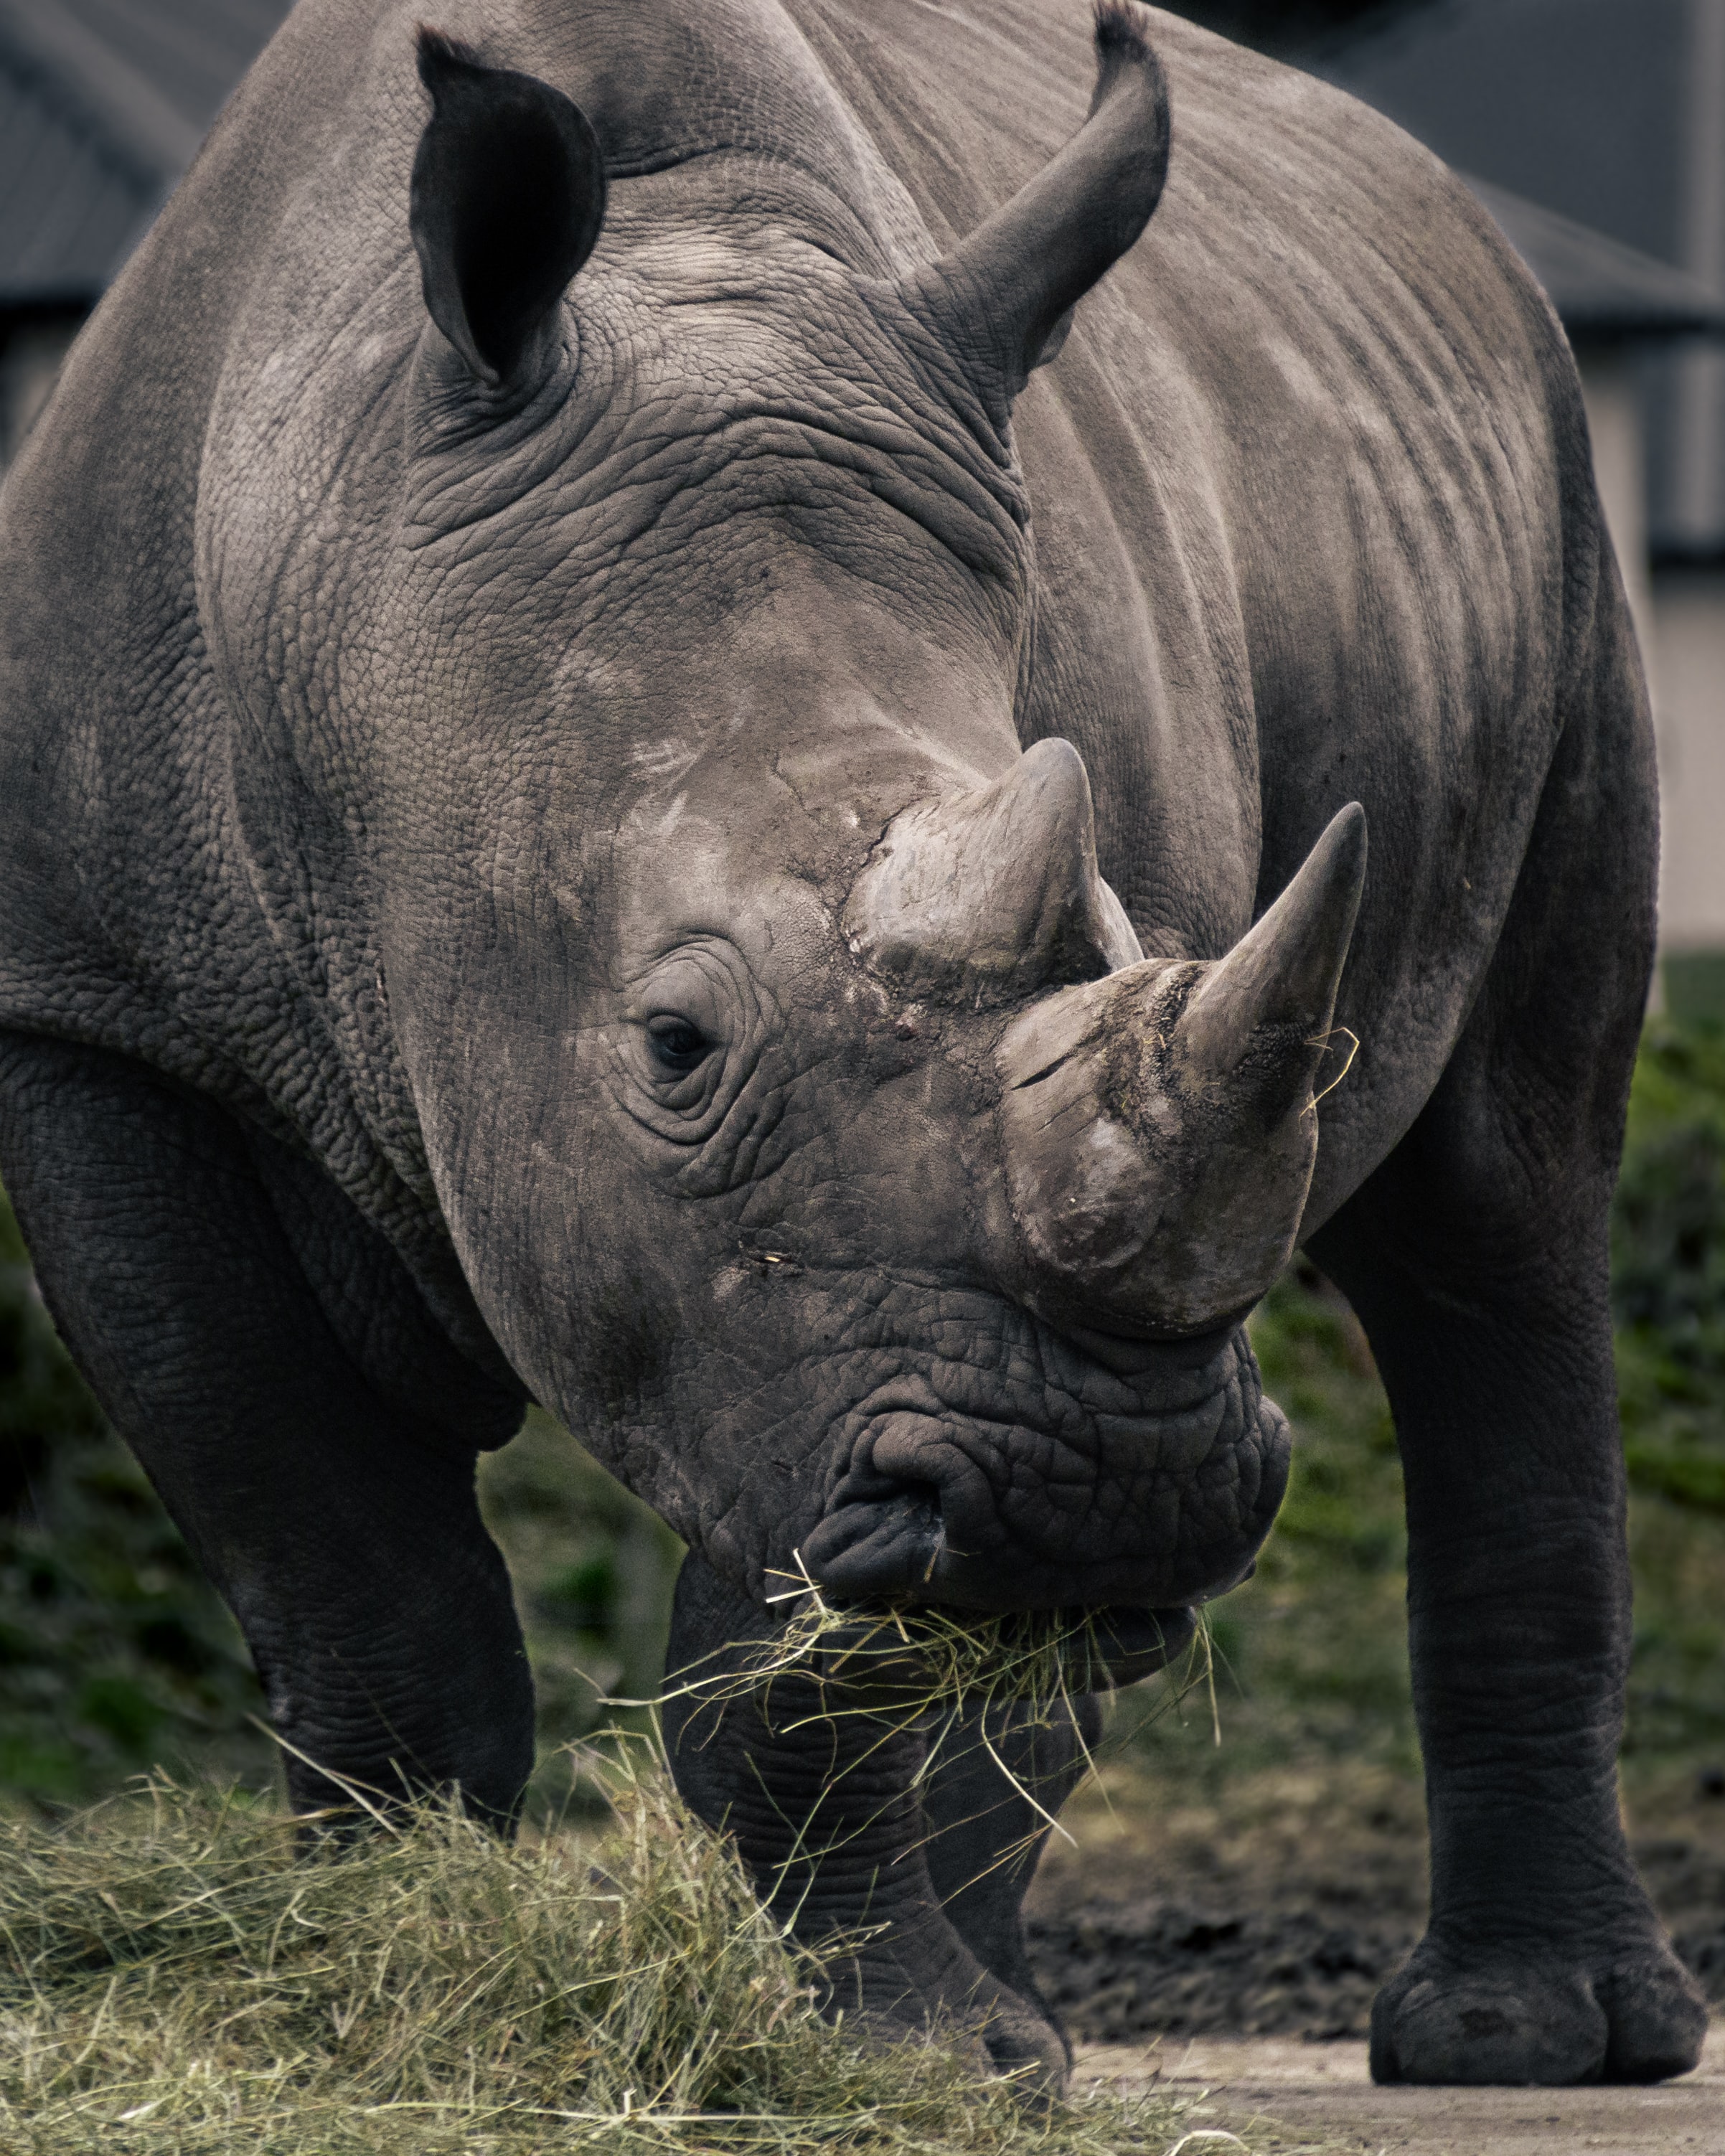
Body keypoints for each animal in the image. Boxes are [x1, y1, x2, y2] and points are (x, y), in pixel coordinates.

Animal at [0, 0, 1705, 2092]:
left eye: (1128, 933)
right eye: (673, 1042)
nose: (1107, 1487)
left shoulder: (837, 1296)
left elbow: (798, 1671)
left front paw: (884, 2061)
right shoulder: (101, 1017)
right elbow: (340, 1565)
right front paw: (388, 1993)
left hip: (1555, 502)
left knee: (1507, 1198)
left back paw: (1491, 2043)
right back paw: (1048, 2021)